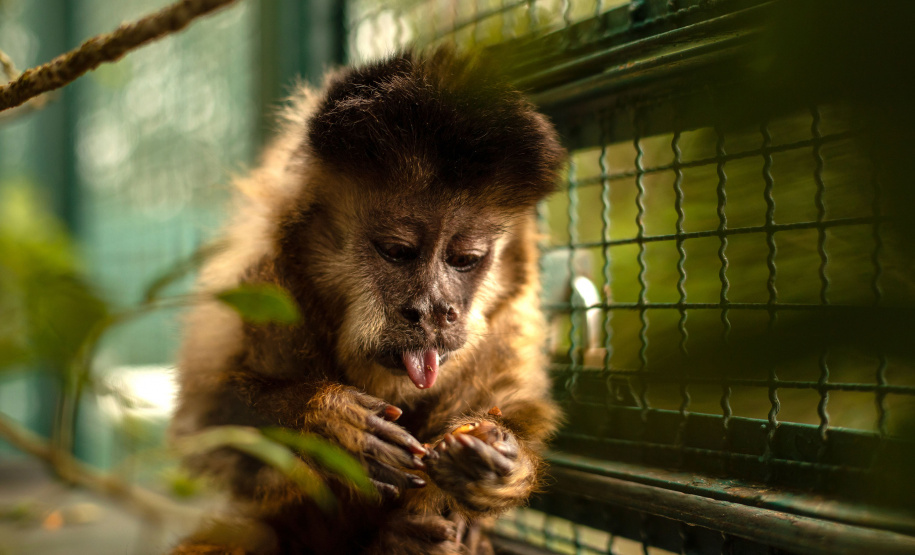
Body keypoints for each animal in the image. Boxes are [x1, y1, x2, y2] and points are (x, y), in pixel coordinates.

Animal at [169, 47, 565, 555]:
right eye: (397, 251)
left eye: (464, 259)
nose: (432, 310)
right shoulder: (264, 278)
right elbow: (205, 430)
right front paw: (325, 422)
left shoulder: (513, 316)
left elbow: (516, 404)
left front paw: (499, 458)